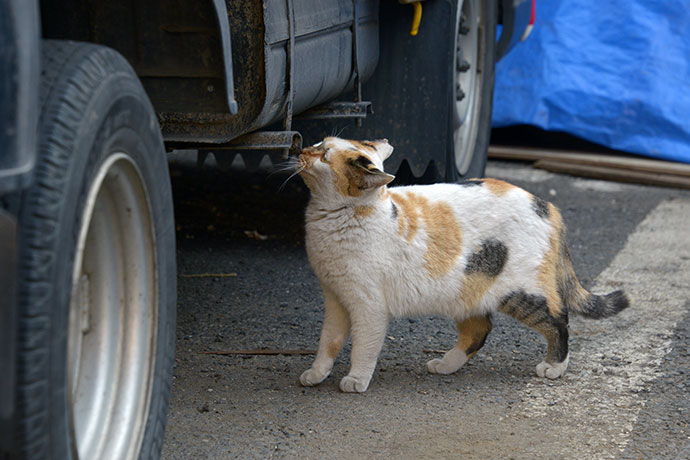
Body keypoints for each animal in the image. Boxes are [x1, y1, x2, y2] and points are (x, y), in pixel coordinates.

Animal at [292, 136, 628, 392]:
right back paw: (446, 364)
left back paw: (554, 366)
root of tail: (546, 205)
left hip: (521, 293)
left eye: (323, 155)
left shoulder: (368, 306)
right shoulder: (335, 298)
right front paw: (317, 374)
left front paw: (356, 380)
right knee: (479, 330)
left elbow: (363, 346)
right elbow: (328, 342)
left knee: (559, 320)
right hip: (463, 292)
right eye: (319, 142)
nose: (302, 150)